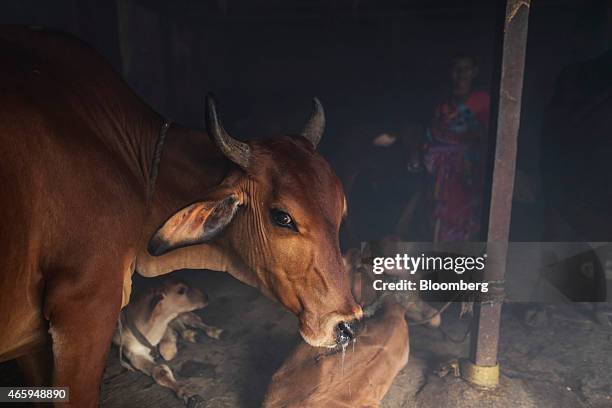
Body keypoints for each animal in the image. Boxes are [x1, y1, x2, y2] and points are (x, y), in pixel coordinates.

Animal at [0, 27, 360, 406]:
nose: (348, 325)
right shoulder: (85, 311)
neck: (136, 167)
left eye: (341, 212)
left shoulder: (34, 343)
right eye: (282, 217)